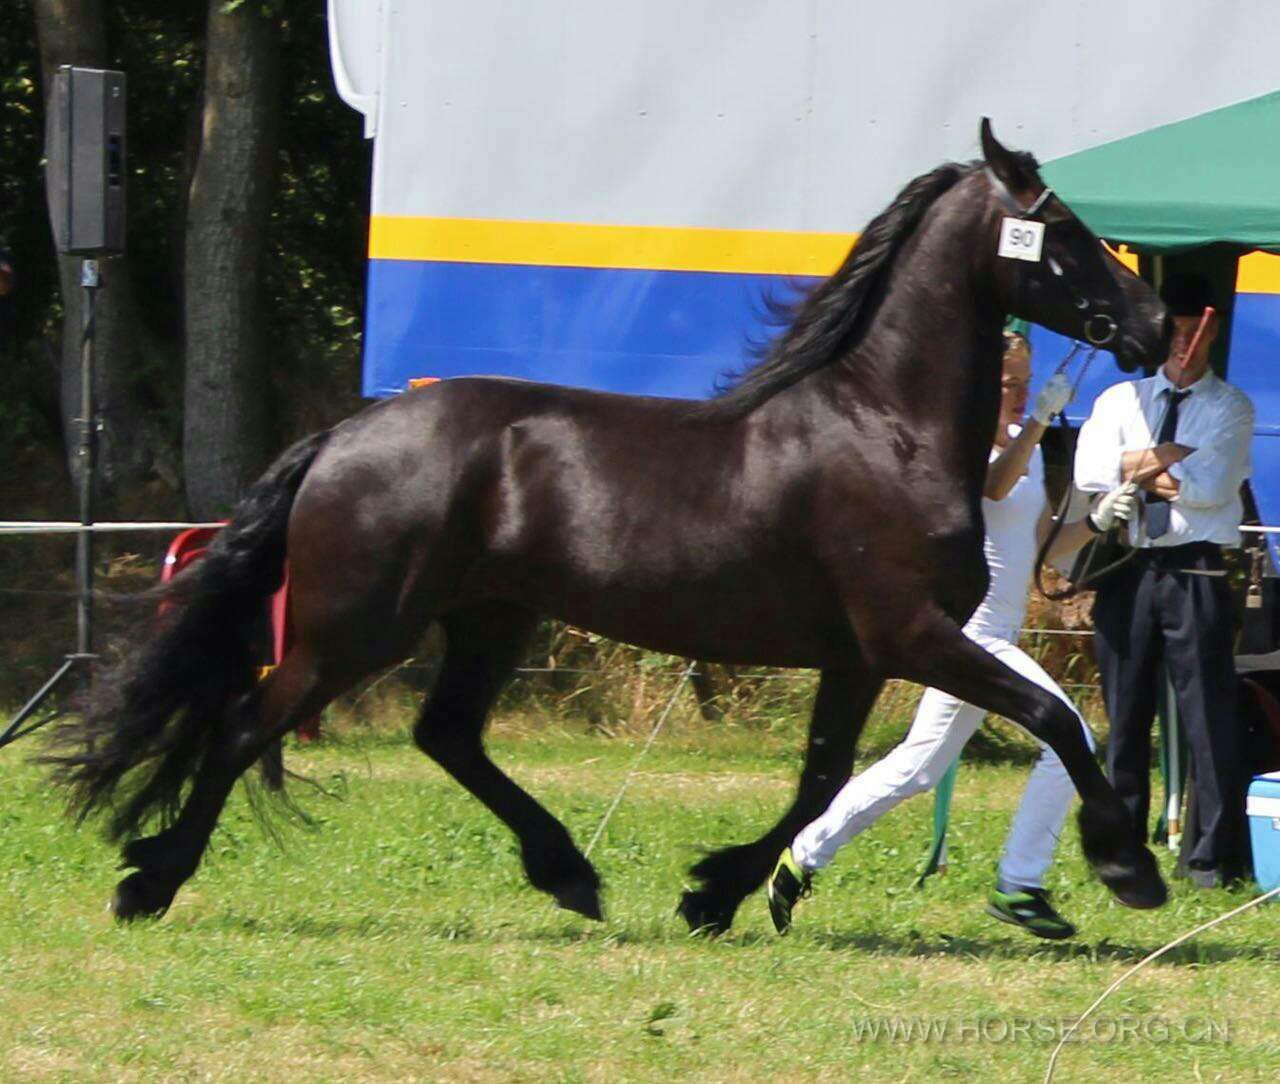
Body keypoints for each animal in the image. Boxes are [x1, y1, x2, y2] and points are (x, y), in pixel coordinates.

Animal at [47, 120, 1172, 931]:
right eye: (1065, 230)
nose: (1157, 324)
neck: (880, 425)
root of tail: (342, 435)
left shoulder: (857, 654)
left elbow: (819, 778)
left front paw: (714, 893)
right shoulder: (908, 635)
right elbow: (1051, 717)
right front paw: (1127, 866)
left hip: (489, 618)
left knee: (444, 733)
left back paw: (571, 876)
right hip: (351, 631)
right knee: (247, 724)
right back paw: (148, 884)